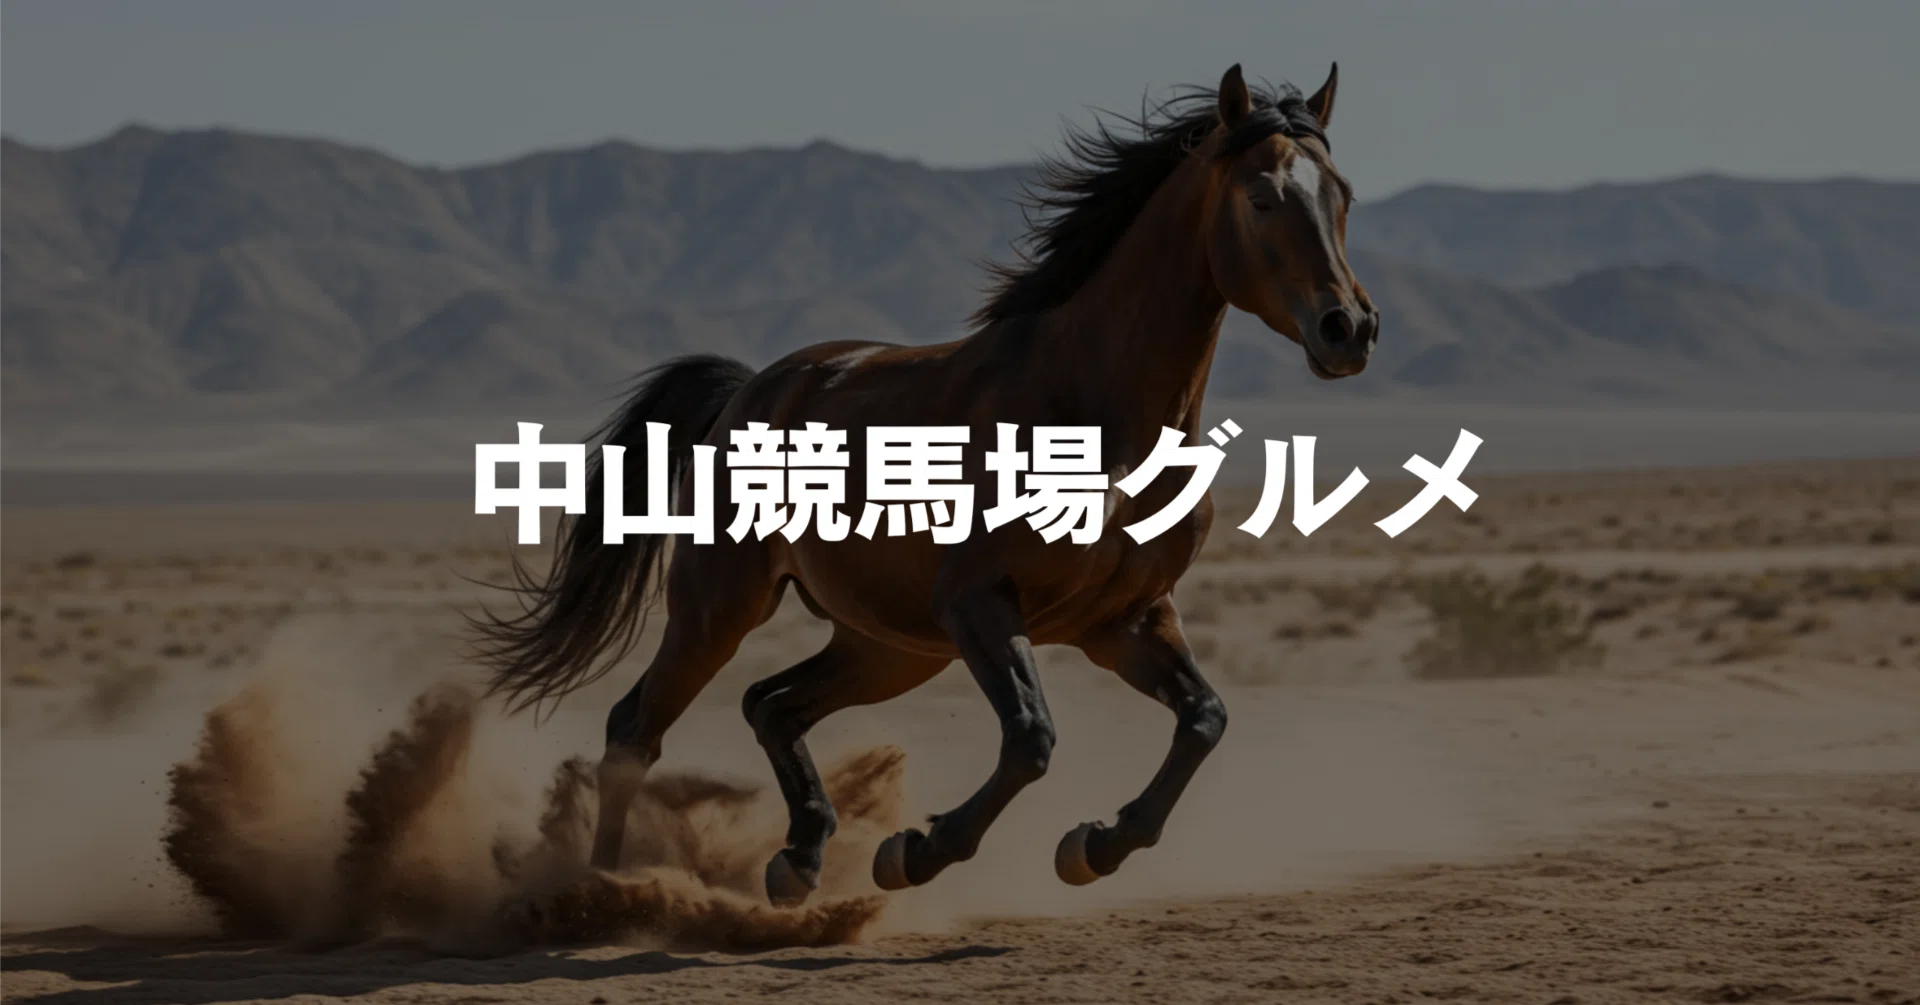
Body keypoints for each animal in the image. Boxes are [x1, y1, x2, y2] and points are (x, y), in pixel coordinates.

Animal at [472, 63, 1378, 908]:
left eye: (1341, 195)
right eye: (1262, 197)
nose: (1350, 329)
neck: (1096, 414)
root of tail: (747, 389)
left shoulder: (1125, 619)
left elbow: (1203, 720)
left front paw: (1093, 845)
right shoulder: (980, 602)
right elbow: (1031, 737)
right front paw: (915, 851)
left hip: (890, 644)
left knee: (770, 703)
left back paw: (798, 860)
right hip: (723, 605)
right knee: (637, 727)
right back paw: (603, 886)